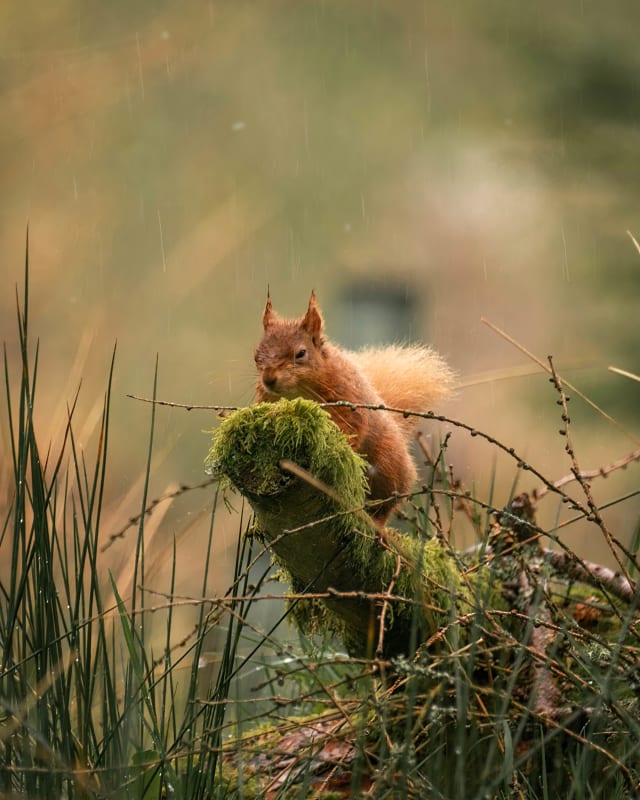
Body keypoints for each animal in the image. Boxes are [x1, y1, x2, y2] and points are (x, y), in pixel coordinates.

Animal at [254, 291, 455, 524]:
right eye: (256, 355)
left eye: (301, 353)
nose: (269, 379)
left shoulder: (347, 400)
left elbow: (351, 427)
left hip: (387, 470)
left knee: (385, 504)